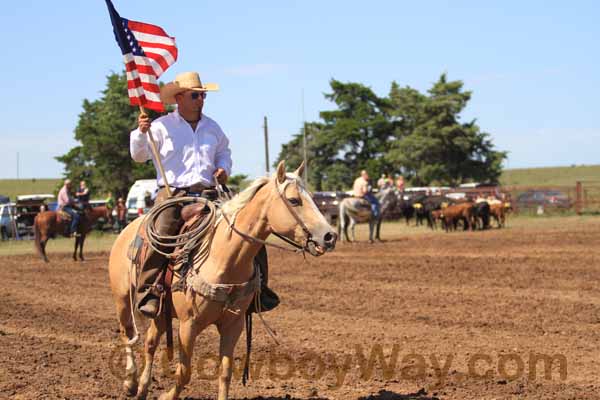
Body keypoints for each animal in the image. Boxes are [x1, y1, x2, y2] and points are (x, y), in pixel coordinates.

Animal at [108, 162, 338, 400]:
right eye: (293, 200)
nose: (330, 236)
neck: (223, 258)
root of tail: (127, 230)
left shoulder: (233, 325)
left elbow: (225, 372)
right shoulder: (188, 325)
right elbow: (184, 373)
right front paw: (166, 396)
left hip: (161, 311)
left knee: (150, 342)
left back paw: (142, 387)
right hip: (122, 299)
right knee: (128, 334)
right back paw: (130, 382)